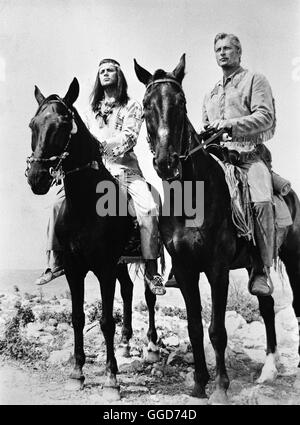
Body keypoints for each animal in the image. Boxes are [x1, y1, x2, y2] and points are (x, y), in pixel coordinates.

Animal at [26, 78, 162, 400]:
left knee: (148, 294)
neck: (87, 204)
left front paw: (112, 379)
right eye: (33, 125)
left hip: (147, 256)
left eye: (63, 124)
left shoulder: (103, 268)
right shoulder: (76, 270)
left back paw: (150, 346)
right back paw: (126, 344)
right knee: (128, 290)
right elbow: (77, 318)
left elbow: (106, 321)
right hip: (120, 264)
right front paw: (77, 373)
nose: (36, 177)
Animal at [135, 54, 300, 402]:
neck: (192, 198)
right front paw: (199, 383)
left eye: (181, 103)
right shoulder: (185, 270)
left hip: (293, 258)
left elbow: (217, 330)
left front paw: (221, 387)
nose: (166, 163)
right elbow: (195, 327)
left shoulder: (217, 268)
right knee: (266, 305)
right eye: (145, 105)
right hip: (254, 264)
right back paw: (269, 368)